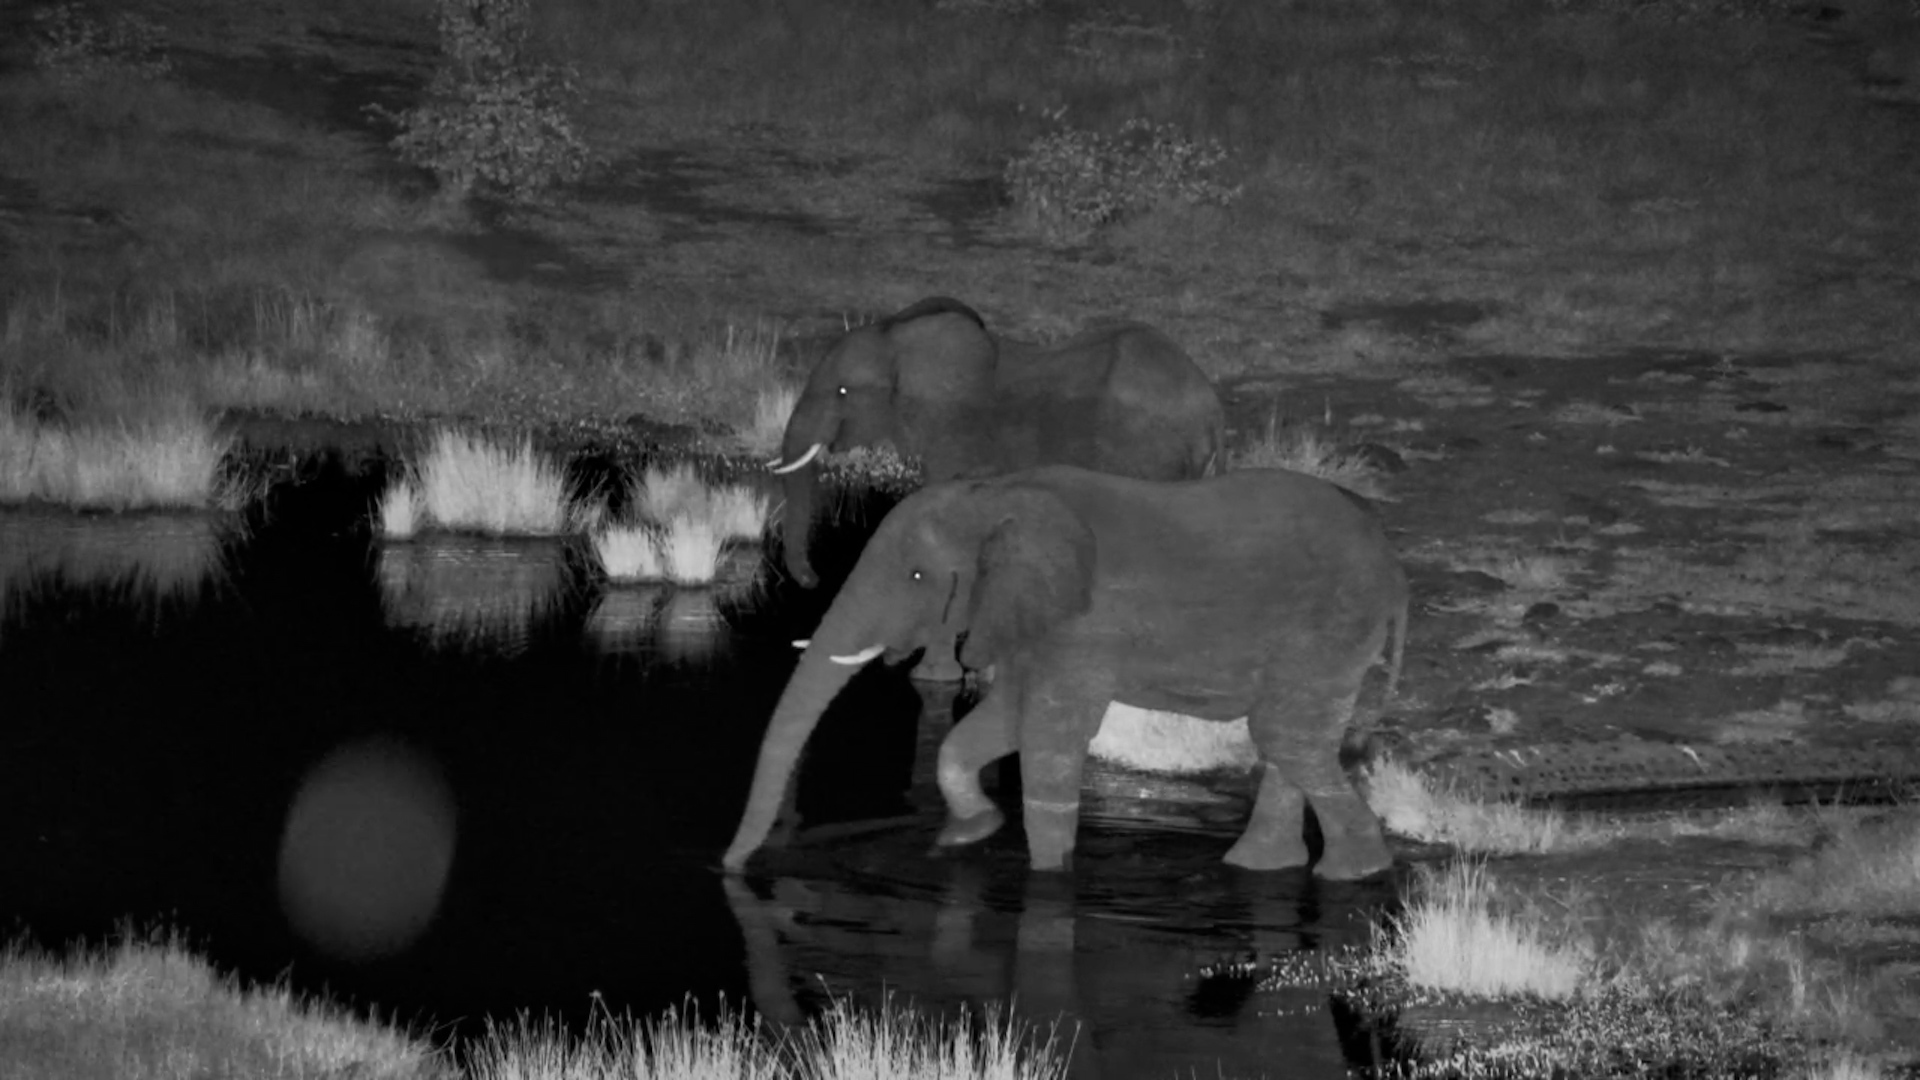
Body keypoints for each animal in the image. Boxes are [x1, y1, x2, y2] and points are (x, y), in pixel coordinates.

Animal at [723, 465, 1408, 880]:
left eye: (918, 576)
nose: (729, 869)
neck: (996, 496)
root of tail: (1392, 554)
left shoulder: (1081, 626)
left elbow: (1050, 739)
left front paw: (1047, 876)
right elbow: (995, 725)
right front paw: (971, 834)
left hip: (1331, 626)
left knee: (1284, 735)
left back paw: (1352, 873)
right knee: (1292, 743)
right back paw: (1264, 868)